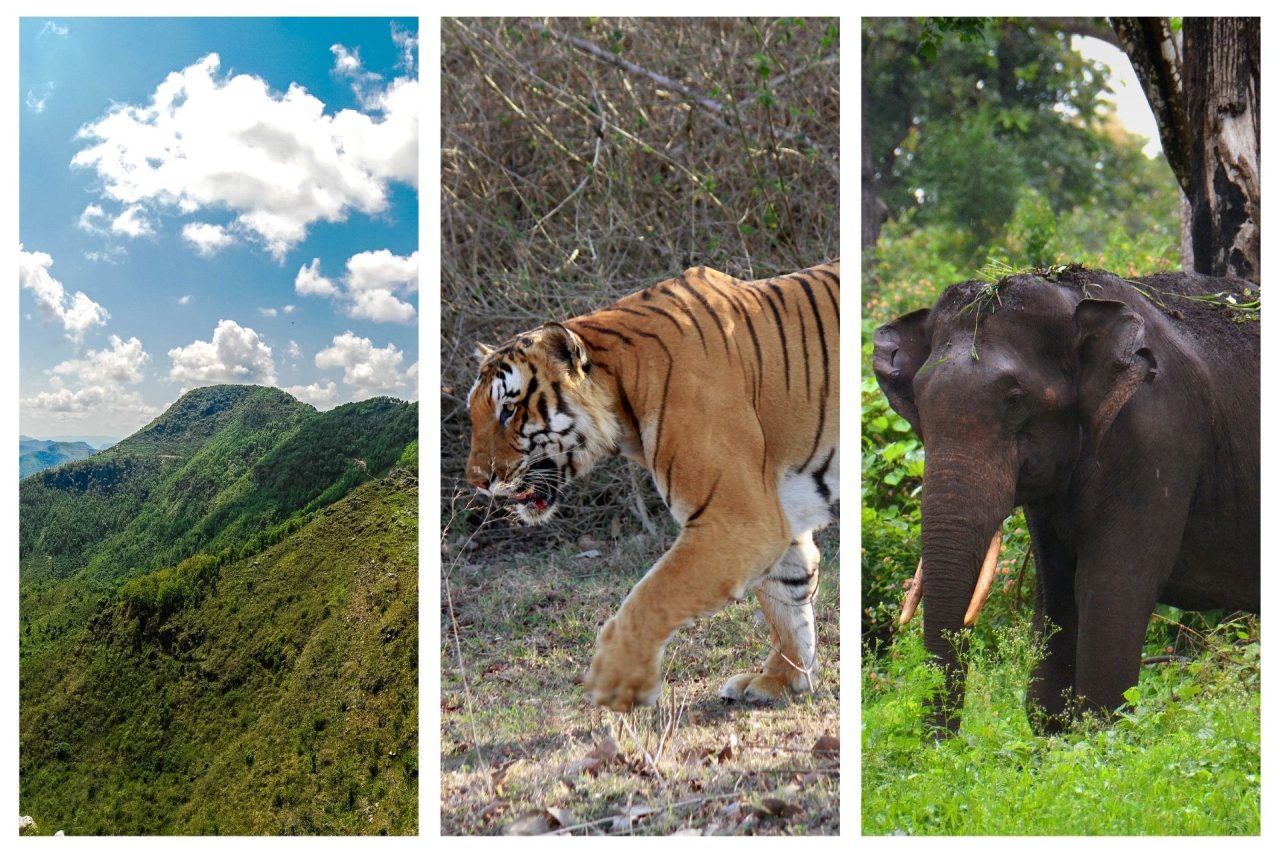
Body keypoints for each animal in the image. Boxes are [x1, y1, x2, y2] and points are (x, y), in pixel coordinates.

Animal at [463, 261, 839, 712]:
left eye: (509, 409)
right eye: (474, 413)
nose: (476, 481)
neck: (621, 390)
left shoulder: (739, 521)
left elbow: (652, 596)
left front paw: (615, 680)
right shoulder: (779, 511)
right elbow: (788, 598)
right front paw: (781, 681)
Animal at [870, 267, 1259, 732]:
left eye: (1015, 401)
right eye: (920, 405)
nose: (940, 744)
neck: (1073, 298)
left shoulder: (1159, 438)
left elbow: (1112, 585)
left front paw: (1099, 734)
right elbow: (1056, 588)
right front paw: (1052, 735)